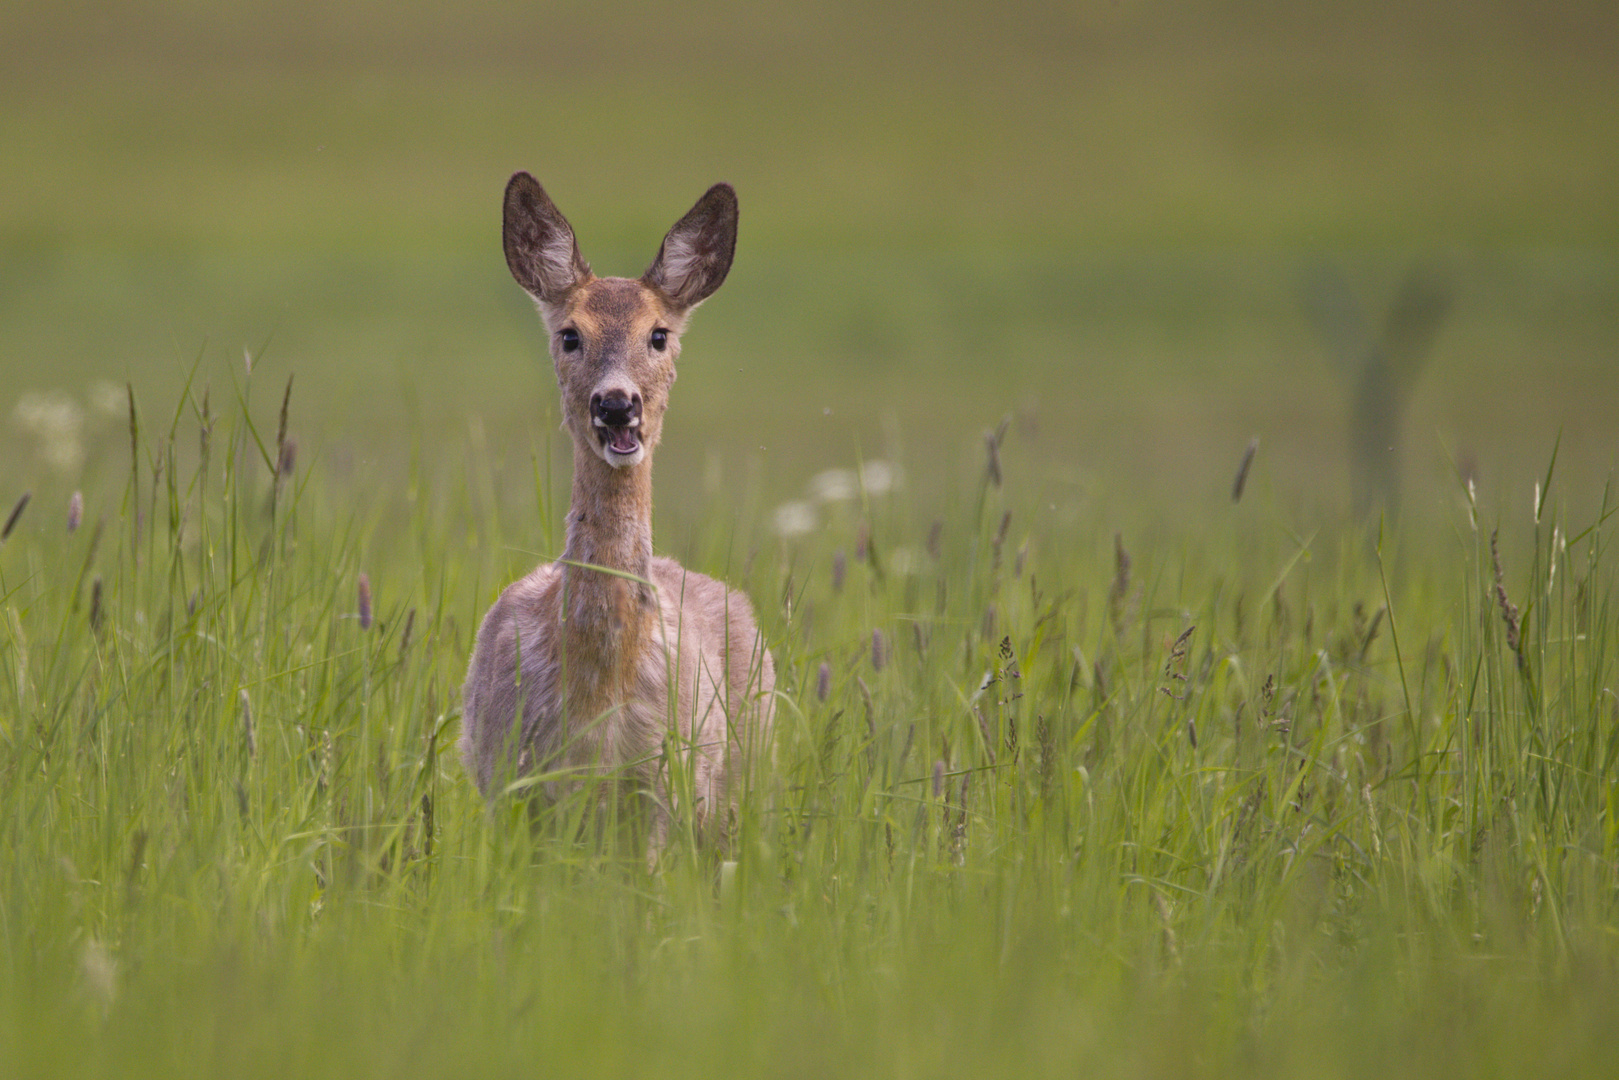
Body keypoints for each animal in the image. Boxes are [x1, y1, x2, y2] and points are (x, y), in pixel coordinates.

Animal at [463, 170, 777, 861]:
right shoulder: (512, 780)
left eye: (658, 335)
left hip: (745, 771)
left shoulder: (669, 781)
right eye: (569, 334)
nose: (615, 404)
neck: (599, 698)